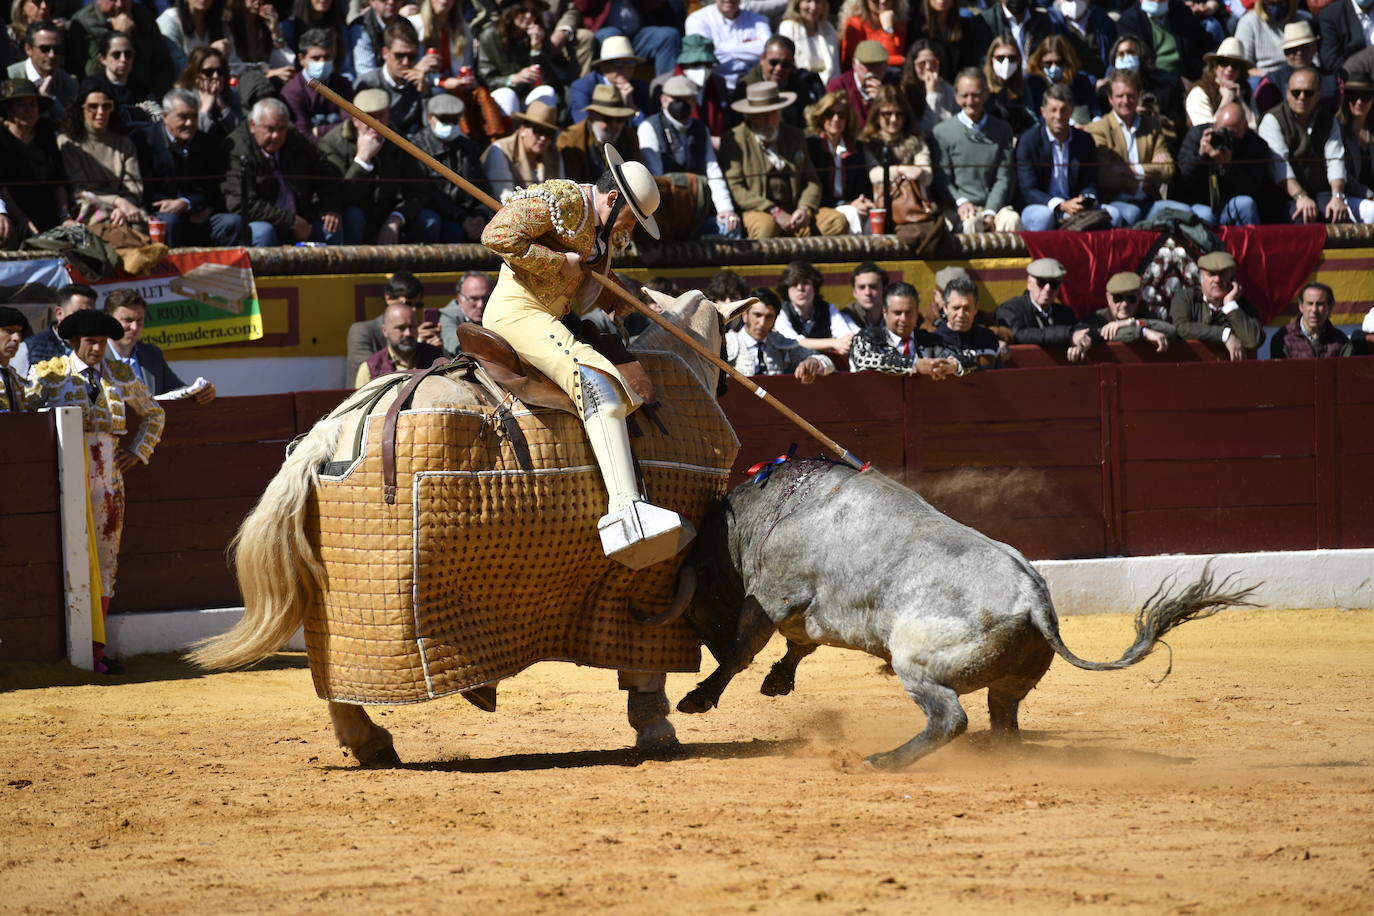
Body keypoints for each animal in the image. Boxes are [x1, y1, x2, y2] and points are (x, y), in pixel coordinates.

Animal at [673, 461, 1258, 769]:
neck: (771, 511)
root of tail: (1034, 599)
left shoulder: (773, 595)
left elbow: (743, 651)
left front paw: (699, 698)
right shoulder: (802, 613)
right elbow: (796, 646)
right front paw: (777, 681)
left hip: (917, 663)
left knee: (950, 718)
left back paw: (884, 761)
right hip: (1013, 681)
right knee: (1004, 721)